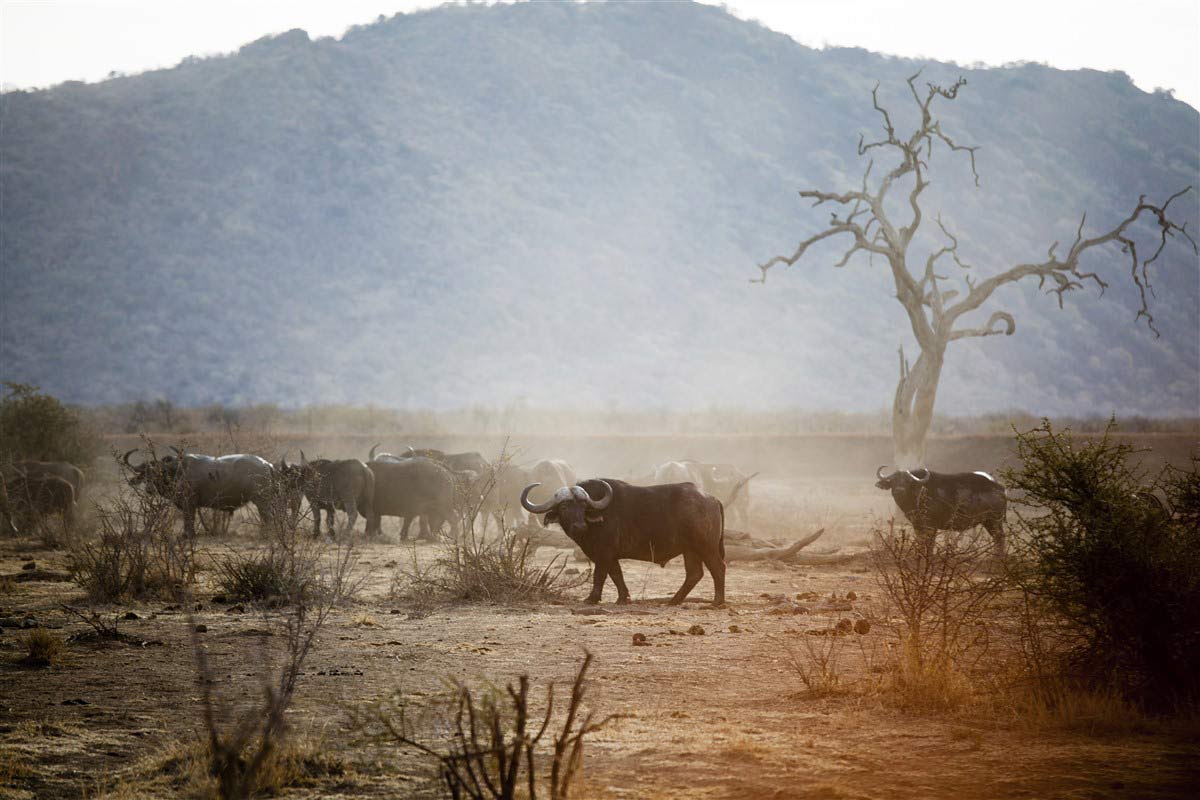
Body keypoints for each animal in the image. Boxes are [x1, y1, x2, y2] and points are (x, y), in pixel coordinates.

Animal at [523, 482, 724, 606]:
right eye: (564, 507)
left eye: (583, 506)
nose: (579, 526)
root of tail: (711, 498)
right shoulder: (610, 556)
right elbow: (616, 575)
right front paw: (623, 598)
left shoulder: (603, 554)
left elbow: (599, 575)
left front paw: (592, 598)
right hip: (690, 550)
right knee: (694, 574)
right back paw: (674, 600)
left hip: (706, 546)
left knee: (718, 567)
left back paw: (717, 601)